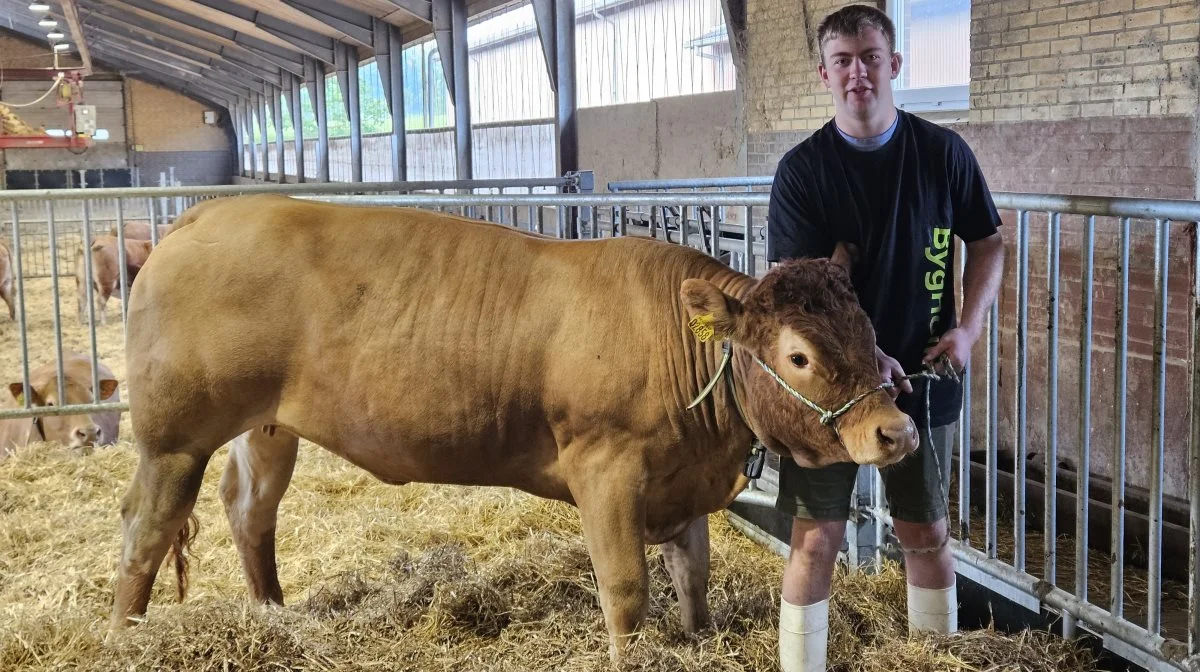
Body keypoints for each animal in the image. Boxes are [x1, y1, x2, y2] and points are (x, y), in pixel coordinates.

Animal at [112, 194, 916, 662]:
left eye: (868, 328)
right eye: (799, 355)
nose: (896, 431)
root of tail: (206, 213)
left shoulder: (680, 481)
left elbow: (693, 579)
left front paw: (698, 639)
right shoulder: (606, 468)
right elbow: (626, 589)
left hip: (268, 426)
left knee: (250, 509)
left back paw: (274, 616)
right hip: (173, 437)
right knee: (145, 530)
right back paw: (127, 635)